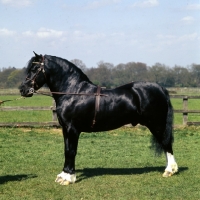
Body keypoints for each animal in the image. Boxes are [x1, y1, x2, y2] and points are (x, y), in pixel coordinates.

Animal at [19, 52, 177, 185]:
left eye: (35, 69)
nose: (23, 89)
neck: (73, 92)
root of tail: (161, 89)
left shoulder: (72, 129)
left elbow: (71, 151)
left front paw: (68, 178)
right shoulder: (65, 129)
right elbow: (66, 150)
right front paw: (63, 175)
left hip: (157, 124)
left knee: (166, 143)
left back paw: (170, 170)